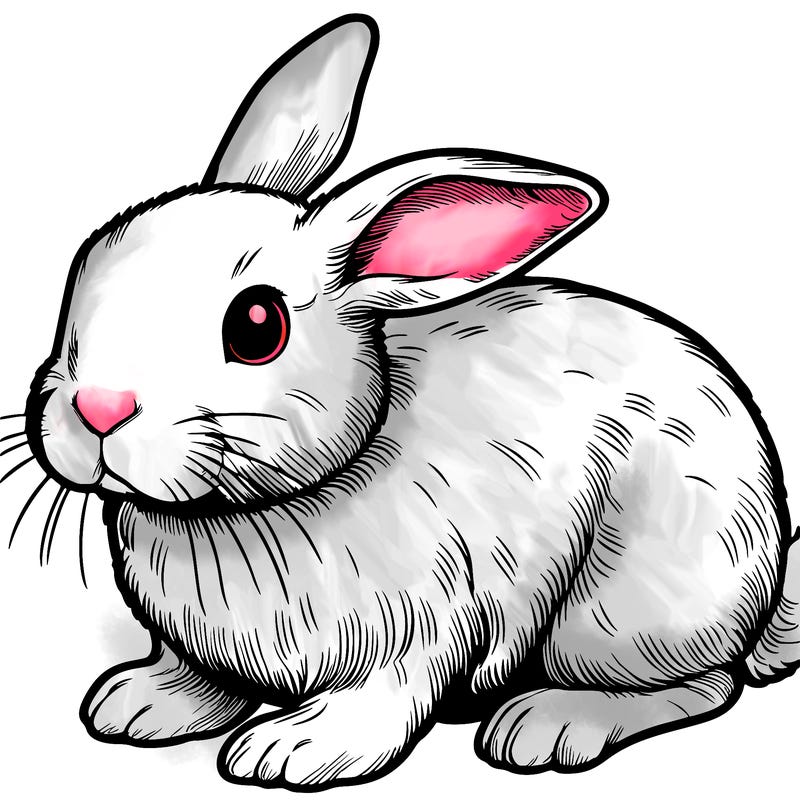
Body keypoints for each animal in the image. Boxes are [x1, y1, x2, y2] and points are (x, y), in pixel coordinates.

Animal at [18, 11, 800, 791]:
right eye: (85, 267)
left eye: (257, 326)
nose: (98, 409)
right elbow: (201, 679)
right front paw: (139, 703)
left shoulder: (425, 628)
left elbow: (382, 701)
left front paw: (291, 750)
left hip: (626, 613)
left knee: (703, 685)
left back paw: (548, 725)